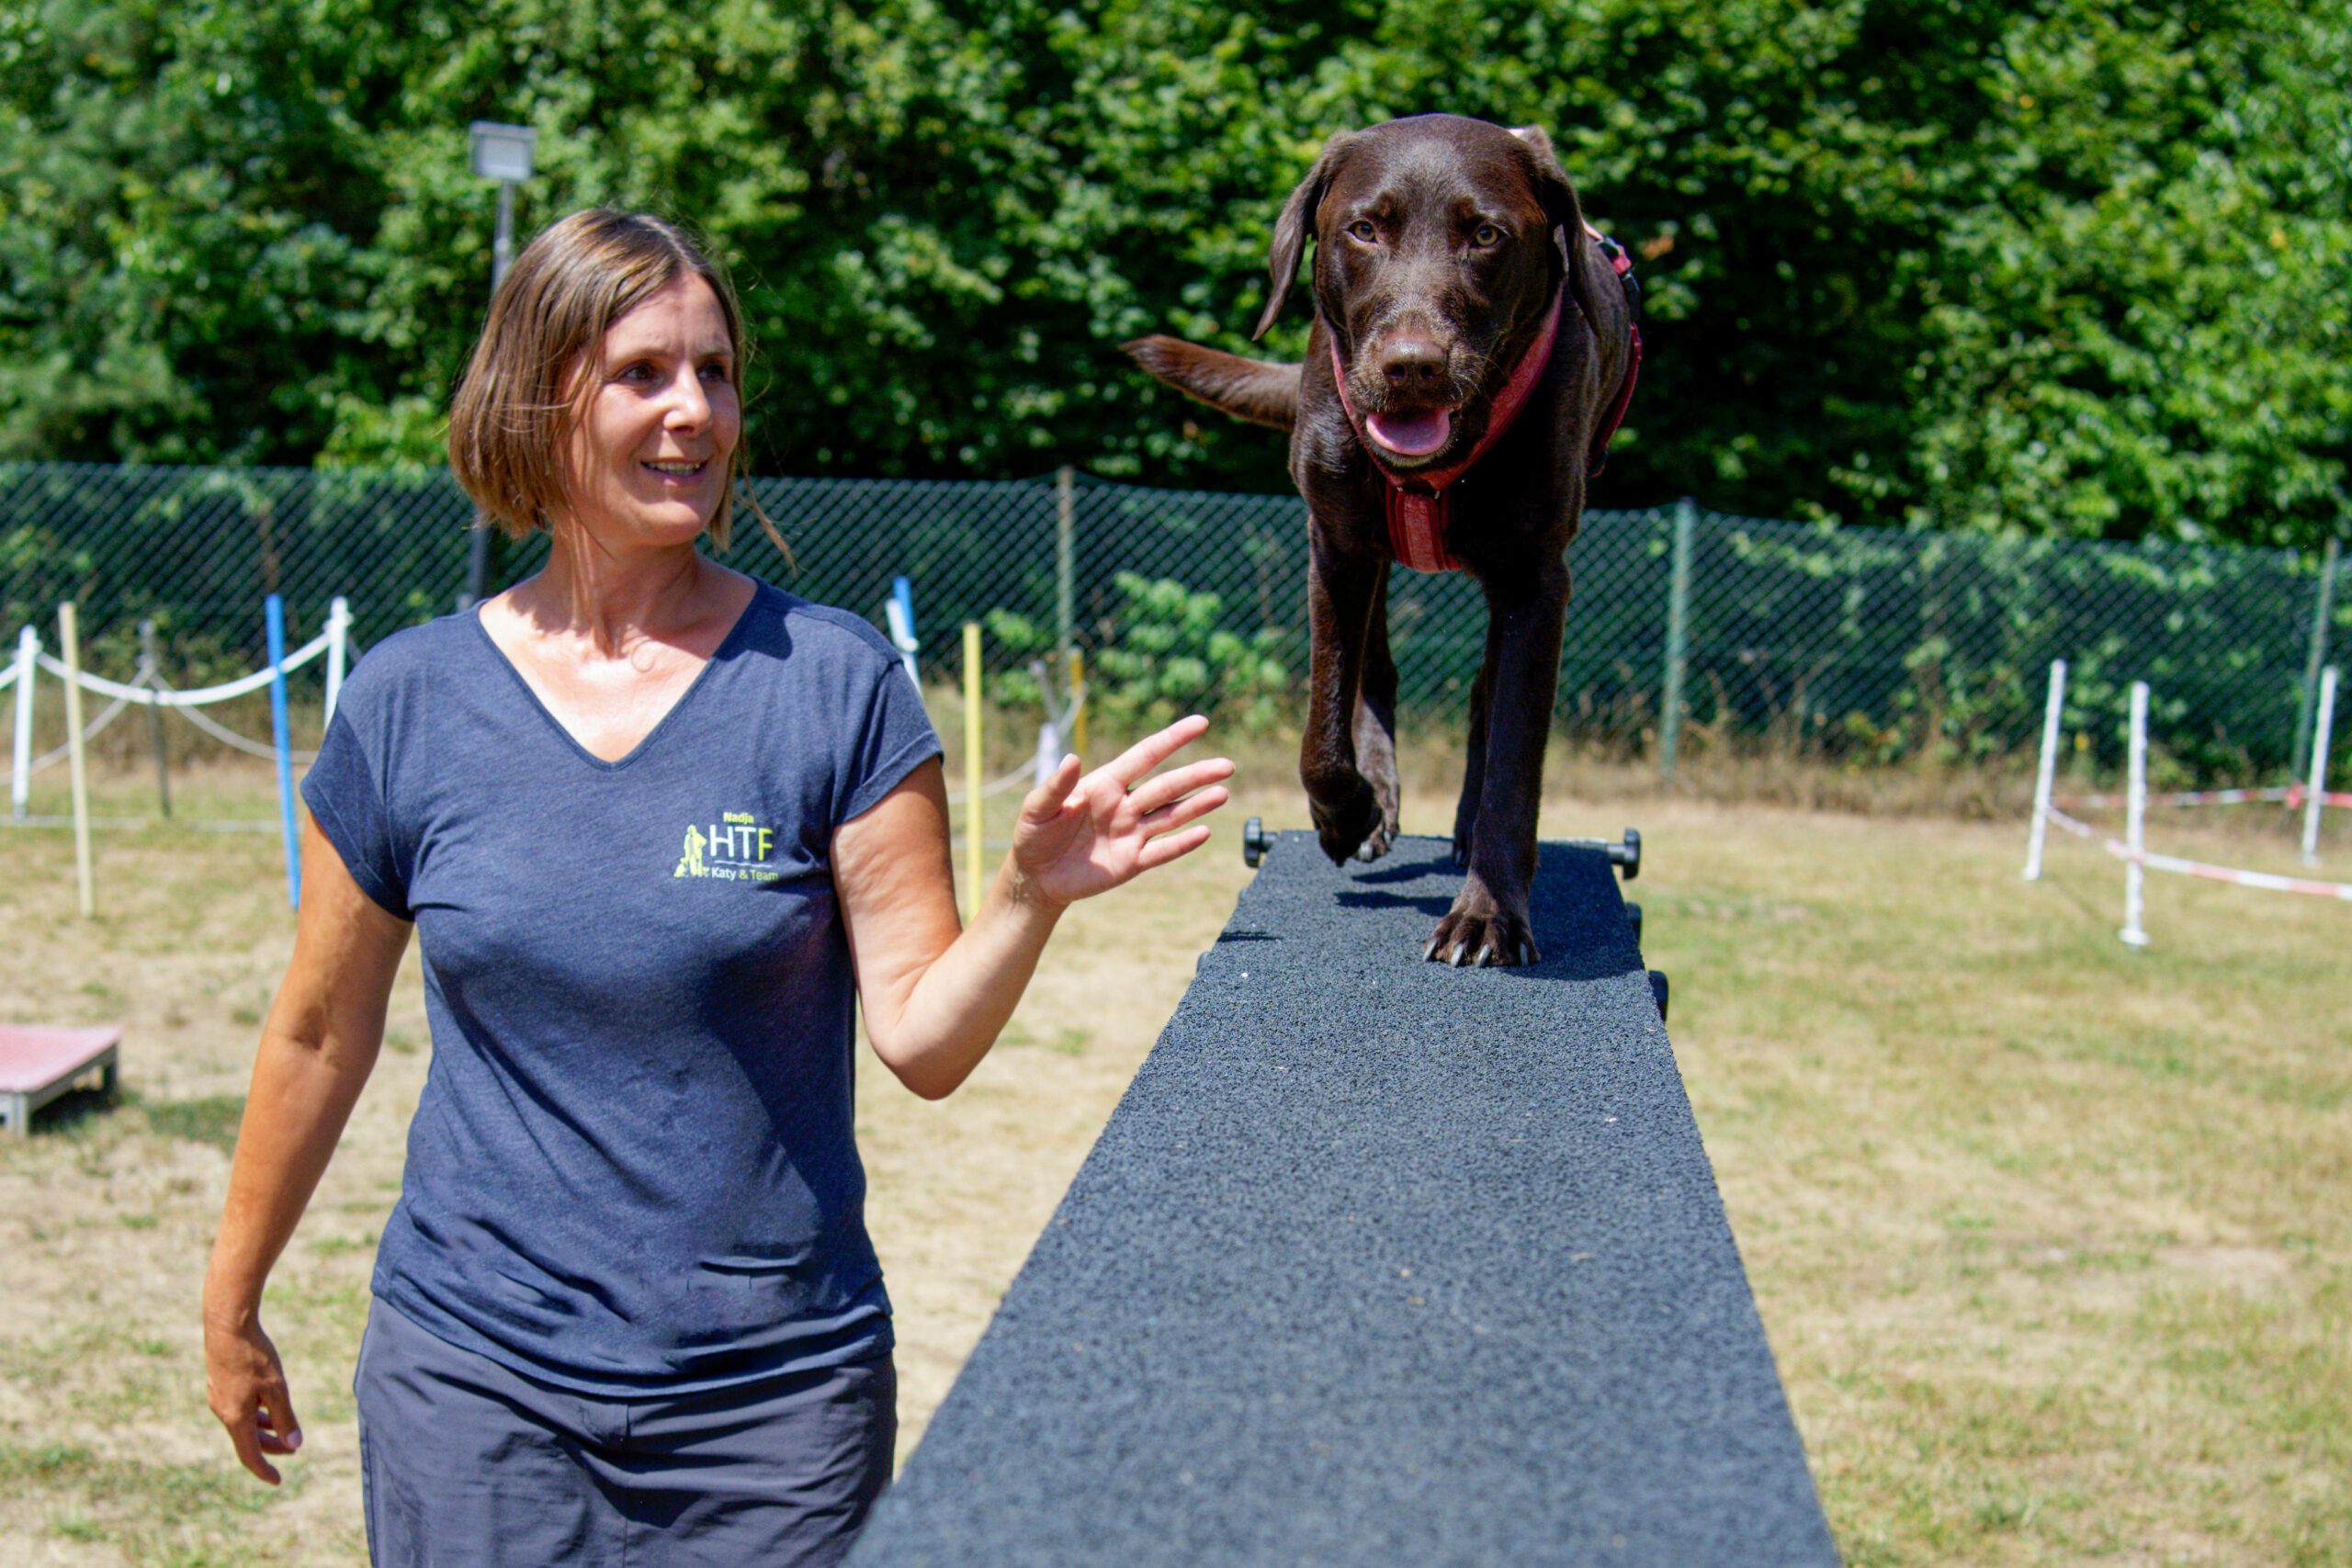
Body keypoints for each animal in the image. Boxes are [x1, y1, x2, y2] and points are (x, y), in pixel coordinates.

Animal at [1119, 113, 1636, 968]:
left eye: (1486, 234)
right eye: (1364, 229)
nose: (1413, 368)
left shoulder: (1537, 581)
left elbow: (1514, 762)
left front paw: (1488, 915)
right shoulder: (1336, 545)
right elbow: (1323, 725)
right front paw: (1349, 812)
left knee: (1484, 699)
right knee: (1374, 670)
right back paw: (1376, 803)